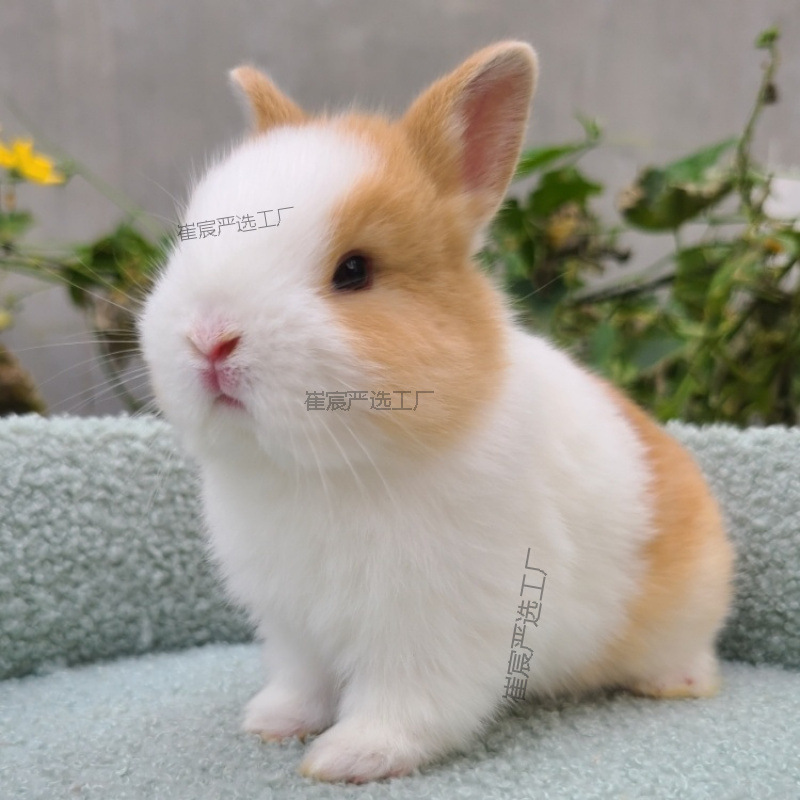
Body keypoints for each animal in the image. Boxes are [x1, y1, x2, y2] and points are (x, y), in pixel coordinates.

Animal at [138, 41, 735, 783]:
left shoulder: (432, 629)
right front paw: (273, 723)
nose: (209, 338)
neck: (321, 473)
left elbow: (408, 702)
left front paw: (349, 757)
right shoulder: (294, 626)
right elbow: (303, 682)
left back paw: (678, 684)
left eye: (355, 270)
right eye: (187, 240)